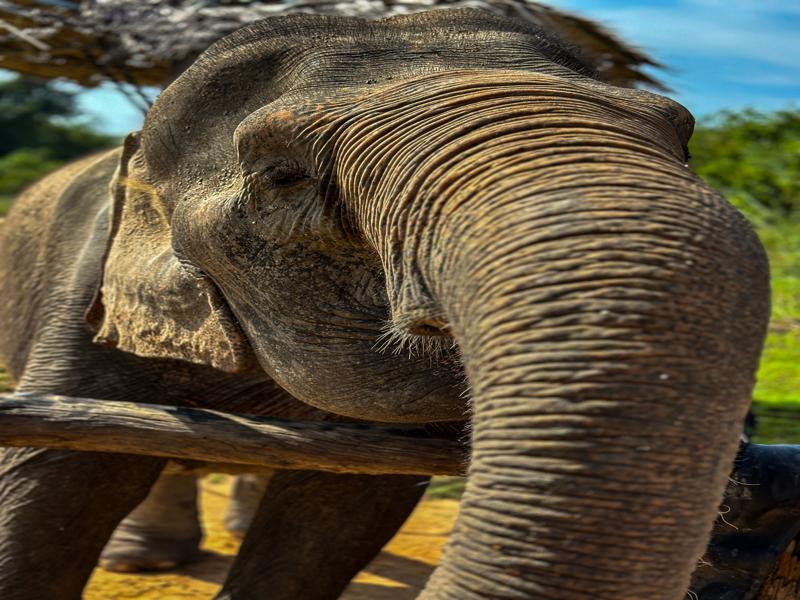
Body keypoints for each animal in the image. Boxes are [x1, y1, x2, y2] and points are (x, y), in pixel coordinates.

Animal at [0, 8, 771, 600]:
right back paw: (143, 562)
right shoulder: (85, 292)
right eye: (282, 175)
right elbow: (53, 477)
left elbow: (342, 507)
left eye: (682, 137)